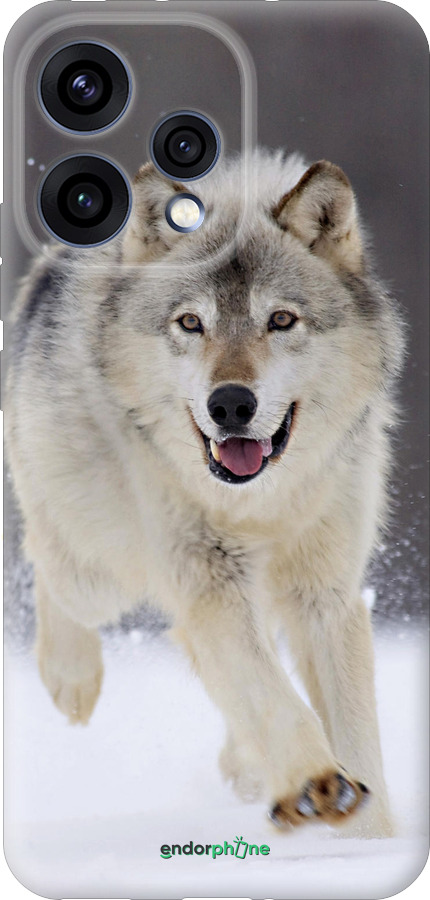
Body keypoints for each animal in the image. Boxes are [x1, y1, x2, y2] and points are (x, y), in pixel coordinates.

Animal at [5, 149, 404, 837]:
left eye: (281, 320)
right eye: (191, 323)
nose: (231, 404)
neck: (261, 503)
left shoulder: (325, 594)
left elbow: (352, 733)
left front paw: (368, 836)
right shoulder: (209, 581)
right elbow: (273, 696)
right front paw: (316, 783)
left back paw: (246, 766)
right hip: (99, 571)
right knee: (48, 564)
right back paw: (71, 680)